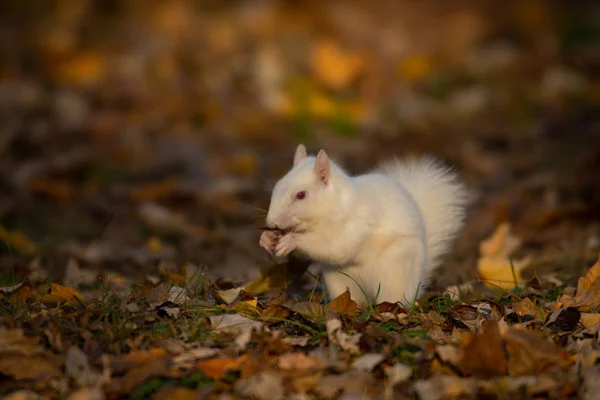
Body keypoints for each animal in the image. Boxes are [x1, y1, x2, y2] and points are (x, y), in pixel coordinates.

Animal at [260, 145, 466, 304]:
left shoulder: (355, 224)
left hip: (395, 270)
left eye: (301, 195)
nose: (271, 222)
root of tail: (418, 280)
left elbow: (336, 247)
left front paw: (292, 240)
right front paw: (266, 238)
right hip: (339, 279)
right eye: (276, 186)